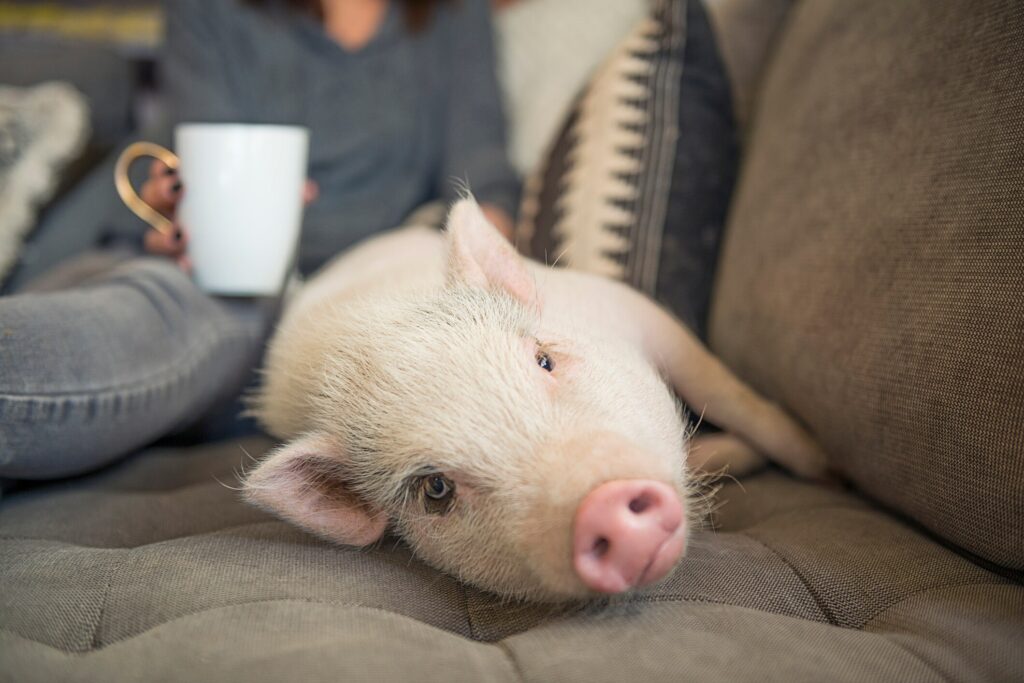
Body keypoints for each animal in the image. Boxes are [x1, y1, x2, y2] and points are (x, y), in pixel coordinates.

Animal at [243, 197, 827, 602]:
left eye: (543, 359)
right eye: (436, 489)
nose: (604, 508)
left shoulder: (640, 313)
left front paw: (820, 464)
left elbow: (726, 392)